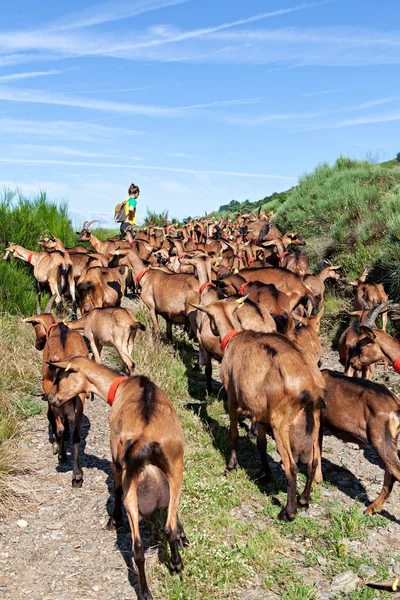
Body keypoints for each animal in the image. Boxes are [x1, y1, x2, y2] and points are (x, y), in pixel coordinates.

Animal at [24, 314, 88, 488]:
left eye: (34, 325)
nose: (38, 345)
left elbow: (51, 418)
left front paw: (56, 446)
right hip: (79, 399)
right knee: (77, 435)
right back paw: (77, 475)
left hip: (52, 394)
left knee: (58, 425)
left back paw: (61, 455)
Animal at [46, 356, 188, 600]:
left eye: (59, 378)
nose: (51, 398)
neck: (120, 386)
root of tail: (146, 444)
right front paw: (182, 537)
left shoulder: (115, 458)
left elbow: (116, 487)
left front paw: (113, 520)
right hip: (175, 470)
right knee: (164, 529)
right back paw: (176, 564)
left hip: (132, 487)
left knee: (136, 547)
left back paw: (145, 592)